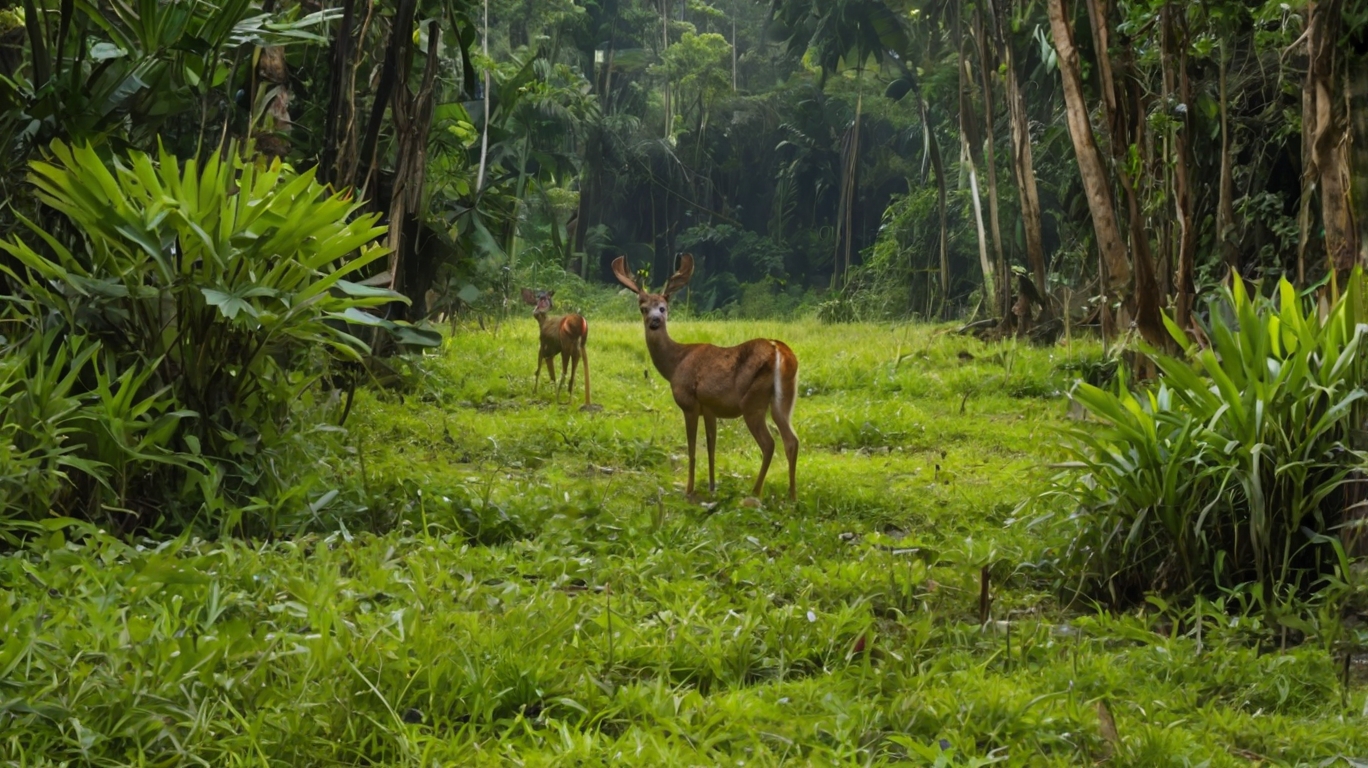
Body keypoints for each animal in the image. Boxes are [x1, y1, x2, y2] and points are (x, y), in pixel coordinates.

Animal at [612, 254, 798, 501]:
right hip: (784, 401)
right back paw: (792, 496)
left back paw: (755, 492)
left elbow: (692, 449)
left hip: (753, 400)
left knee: (769, 444)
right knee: (792, 440)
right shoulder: (710, 407)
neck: (675, 364)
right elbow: (711, 446)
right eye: (643, 308)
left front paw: (689, 489)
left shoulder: (689, 402)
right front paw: (711, 486)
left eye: (663, 308)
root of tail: (780, 352)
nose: (655, 321)